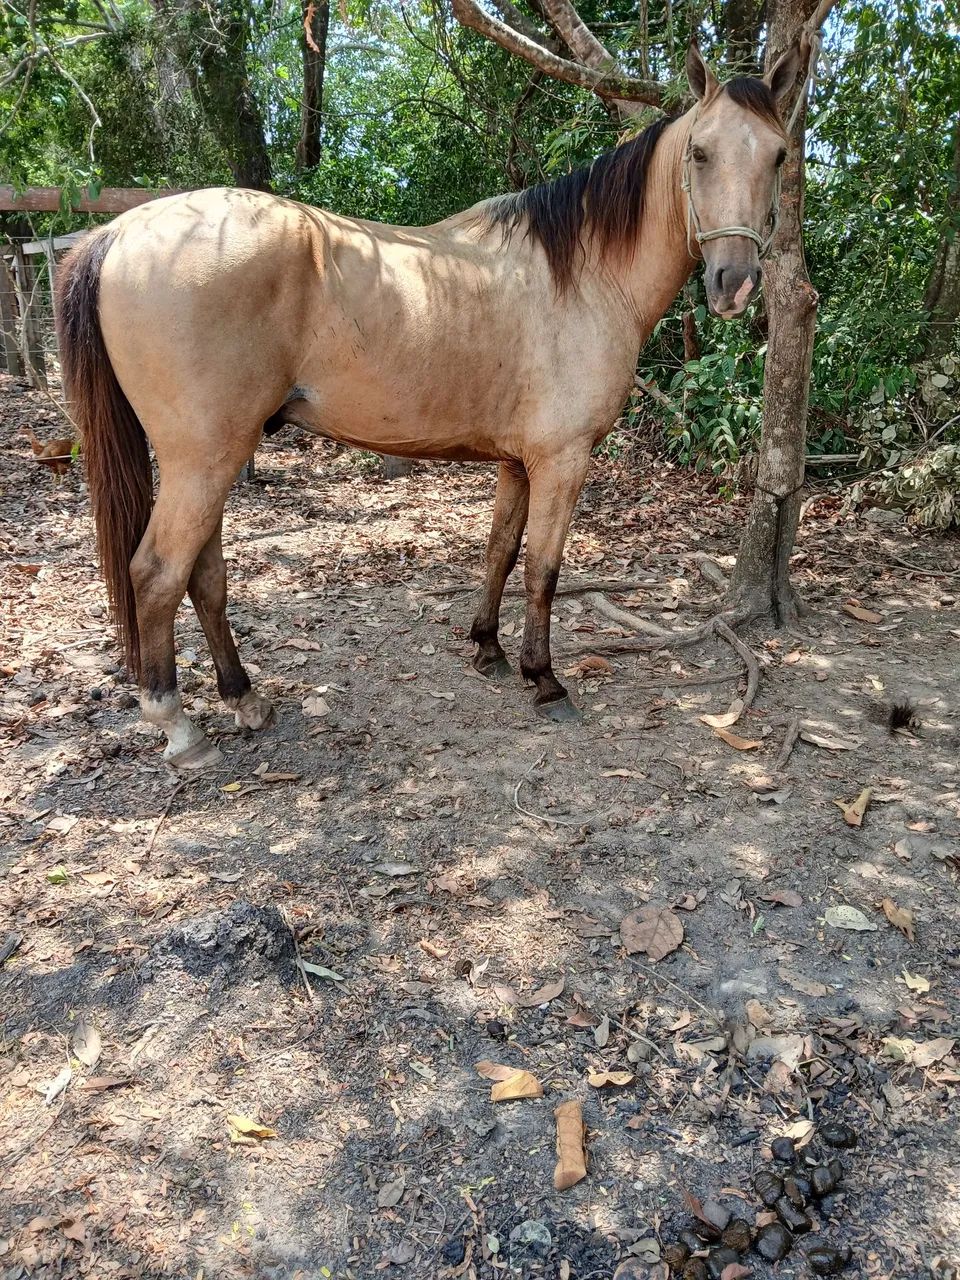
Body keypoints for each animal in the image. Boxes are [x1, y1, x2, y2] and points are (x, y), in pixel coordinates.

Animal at [55, 42, 799, 770]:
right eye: (699, 152)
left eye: (778, 154)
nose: (735, 283)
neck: (581, 276)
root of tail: (119, 233)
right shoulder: (562, 460)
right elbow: (543, 567)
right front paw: (545, 679)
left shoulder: (518, 463)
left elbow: (500, 551)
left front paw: (488, 648)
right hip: (204, 459)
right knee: (157, 575)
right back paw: (179, 728)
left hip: (208, 459)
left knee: (203, 576)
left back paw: (244, 698)